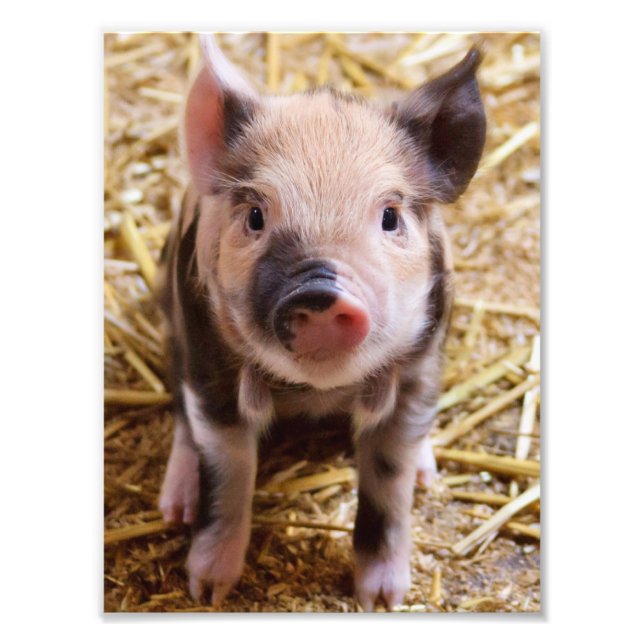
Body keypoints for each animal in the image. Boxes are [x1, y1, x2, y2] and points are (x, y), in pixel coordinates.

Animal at [157, 34, 485, 610]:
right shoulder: (208, 362)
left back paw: (429, 475)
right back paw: (174, 507)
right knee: (180, 415)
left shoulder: (419, 369)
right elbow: (228, 471)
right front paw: (208, 590)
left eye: (390, 217)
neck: (316, 393)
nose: (319, 291)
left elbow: (389, 481)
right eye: (256, 216)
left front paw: (384, 599)